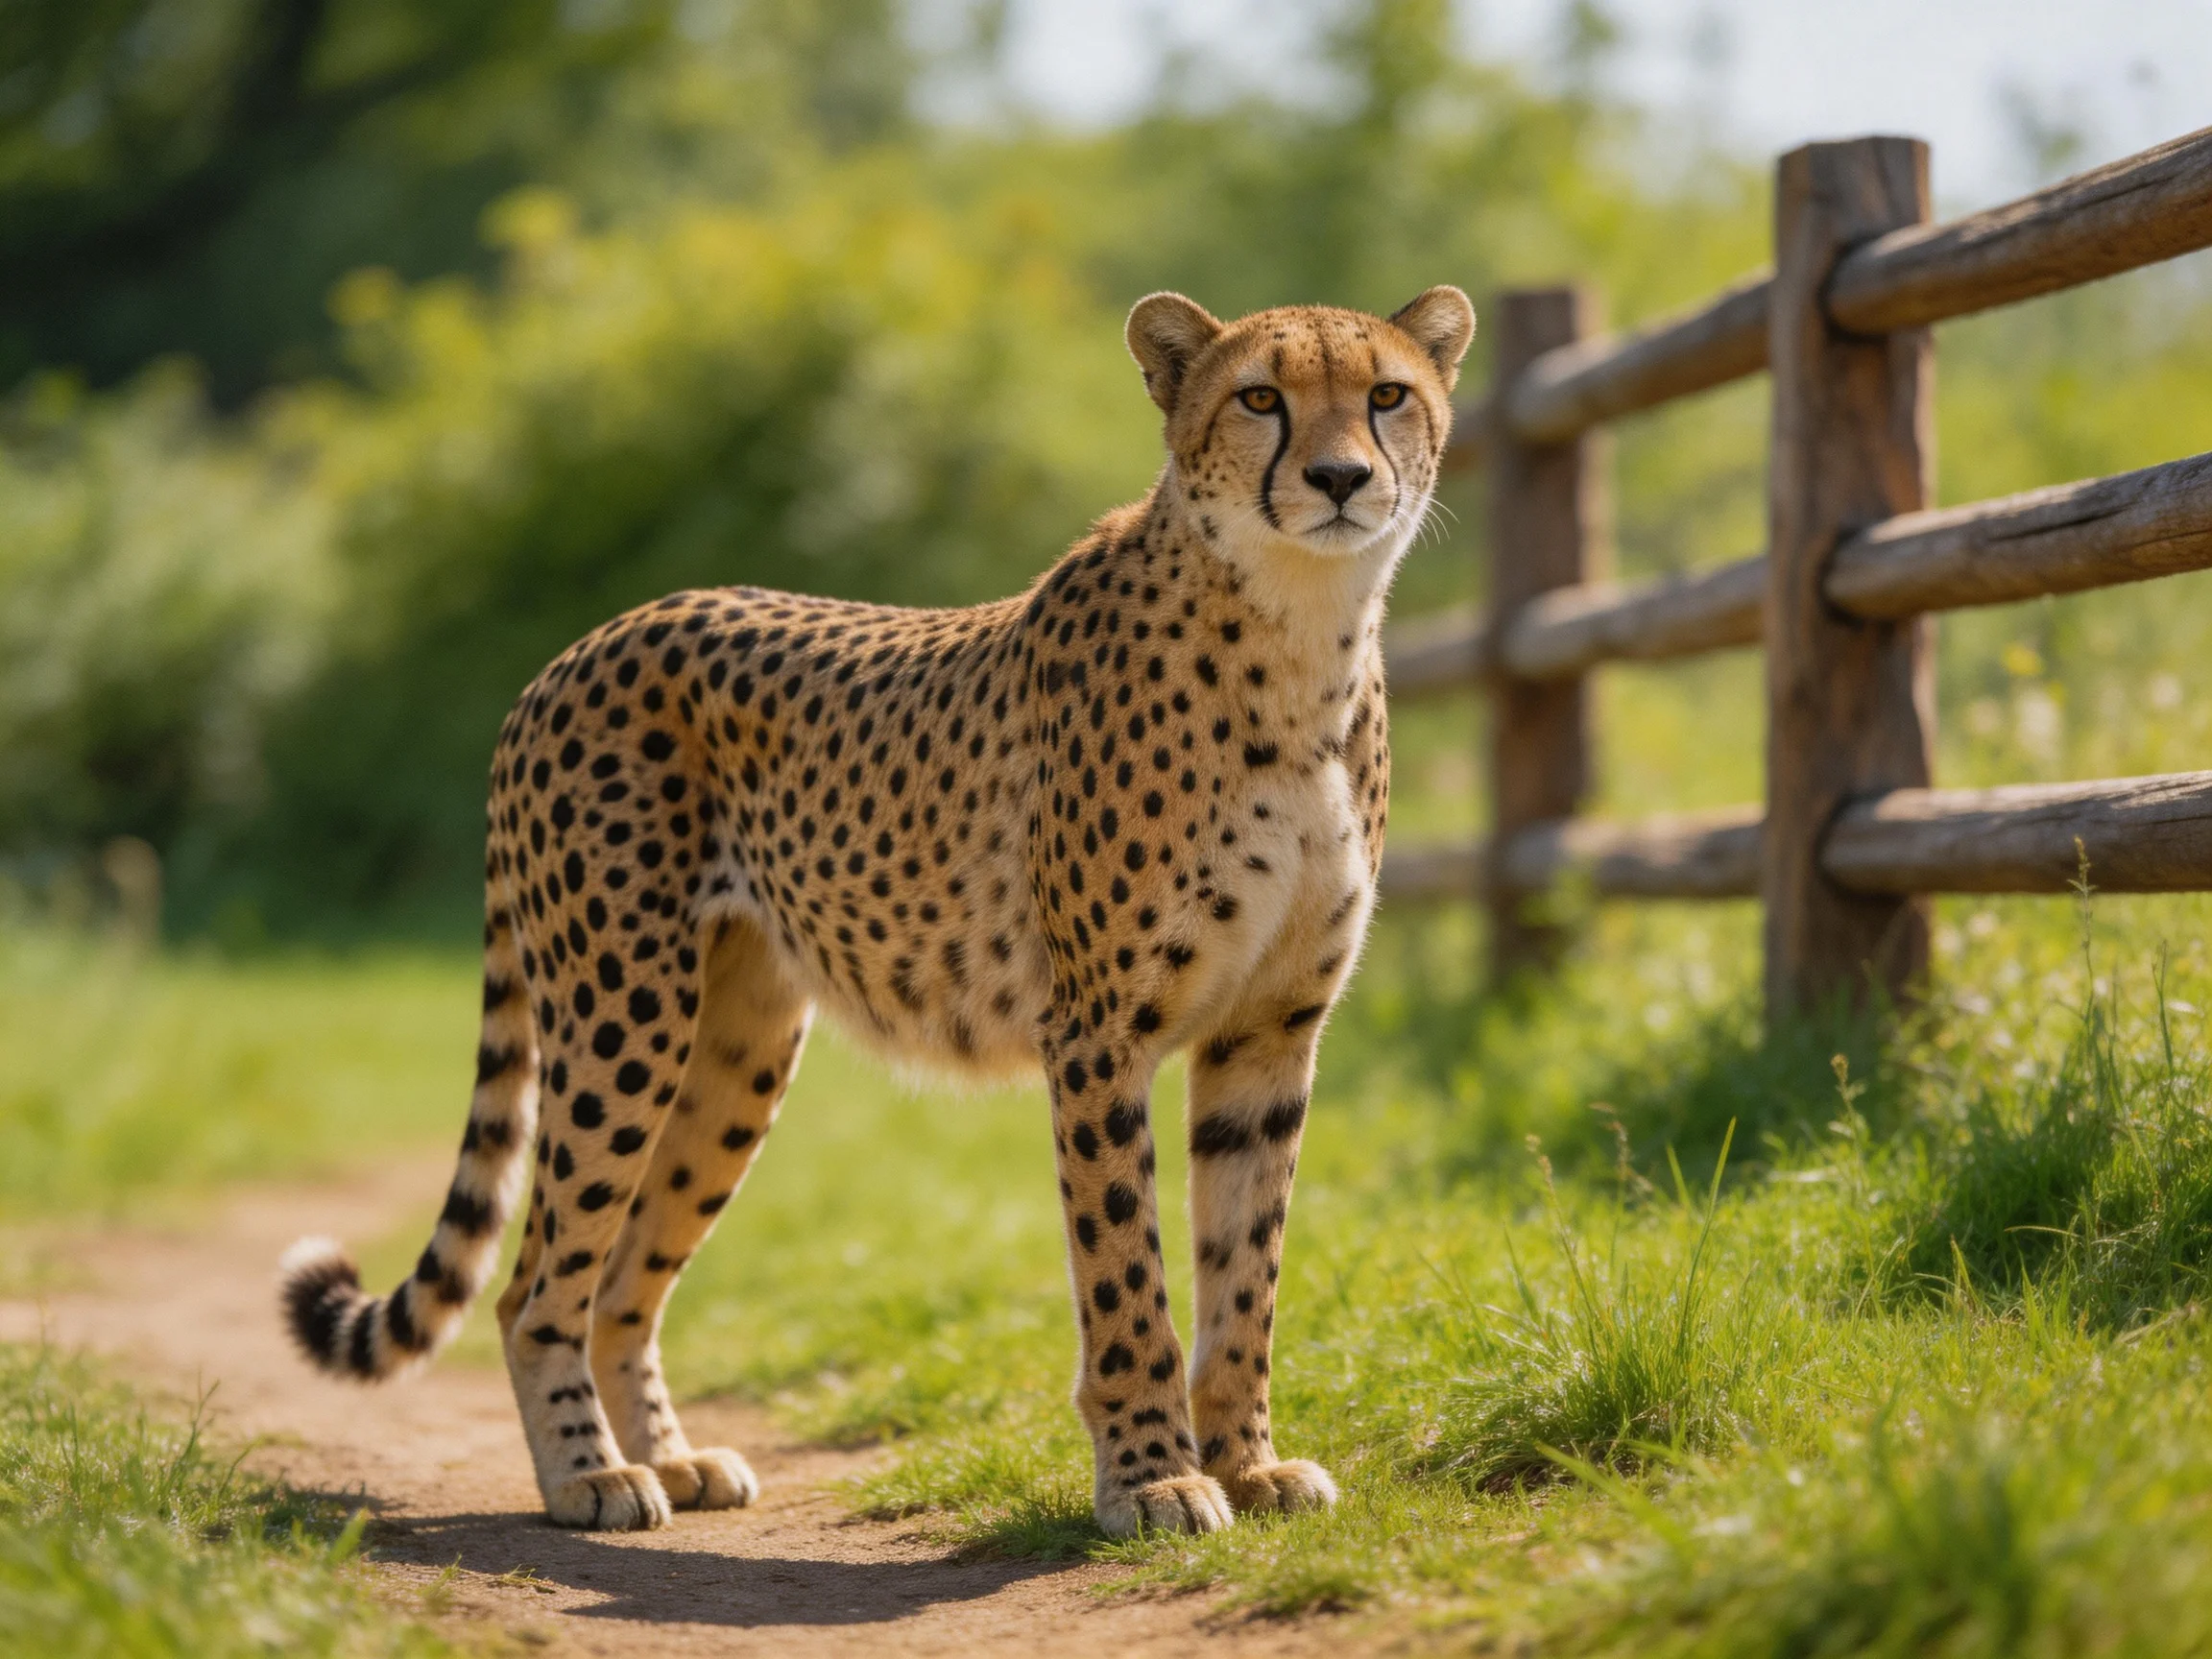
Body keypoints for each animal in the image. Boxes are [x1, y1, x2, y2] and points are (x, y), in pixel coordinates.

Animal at [278, 283, 1475, 1539]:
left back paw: (673, 1459)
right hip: (621, 1020)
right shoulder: (1097, 1034)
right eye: (1259, 399)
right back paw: (590, 1477)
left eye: (1387, 394)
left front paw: (1249, 1464)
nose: (1340, 477)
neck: (1302, 634)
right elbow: (1126, 1278)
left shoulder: (1268, 1035)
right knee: (534, 1283)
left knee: (621, 1276)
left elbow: (1247, 1276)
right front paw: (1154, 1477)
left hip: (733, 1050)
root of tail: (577, 650)